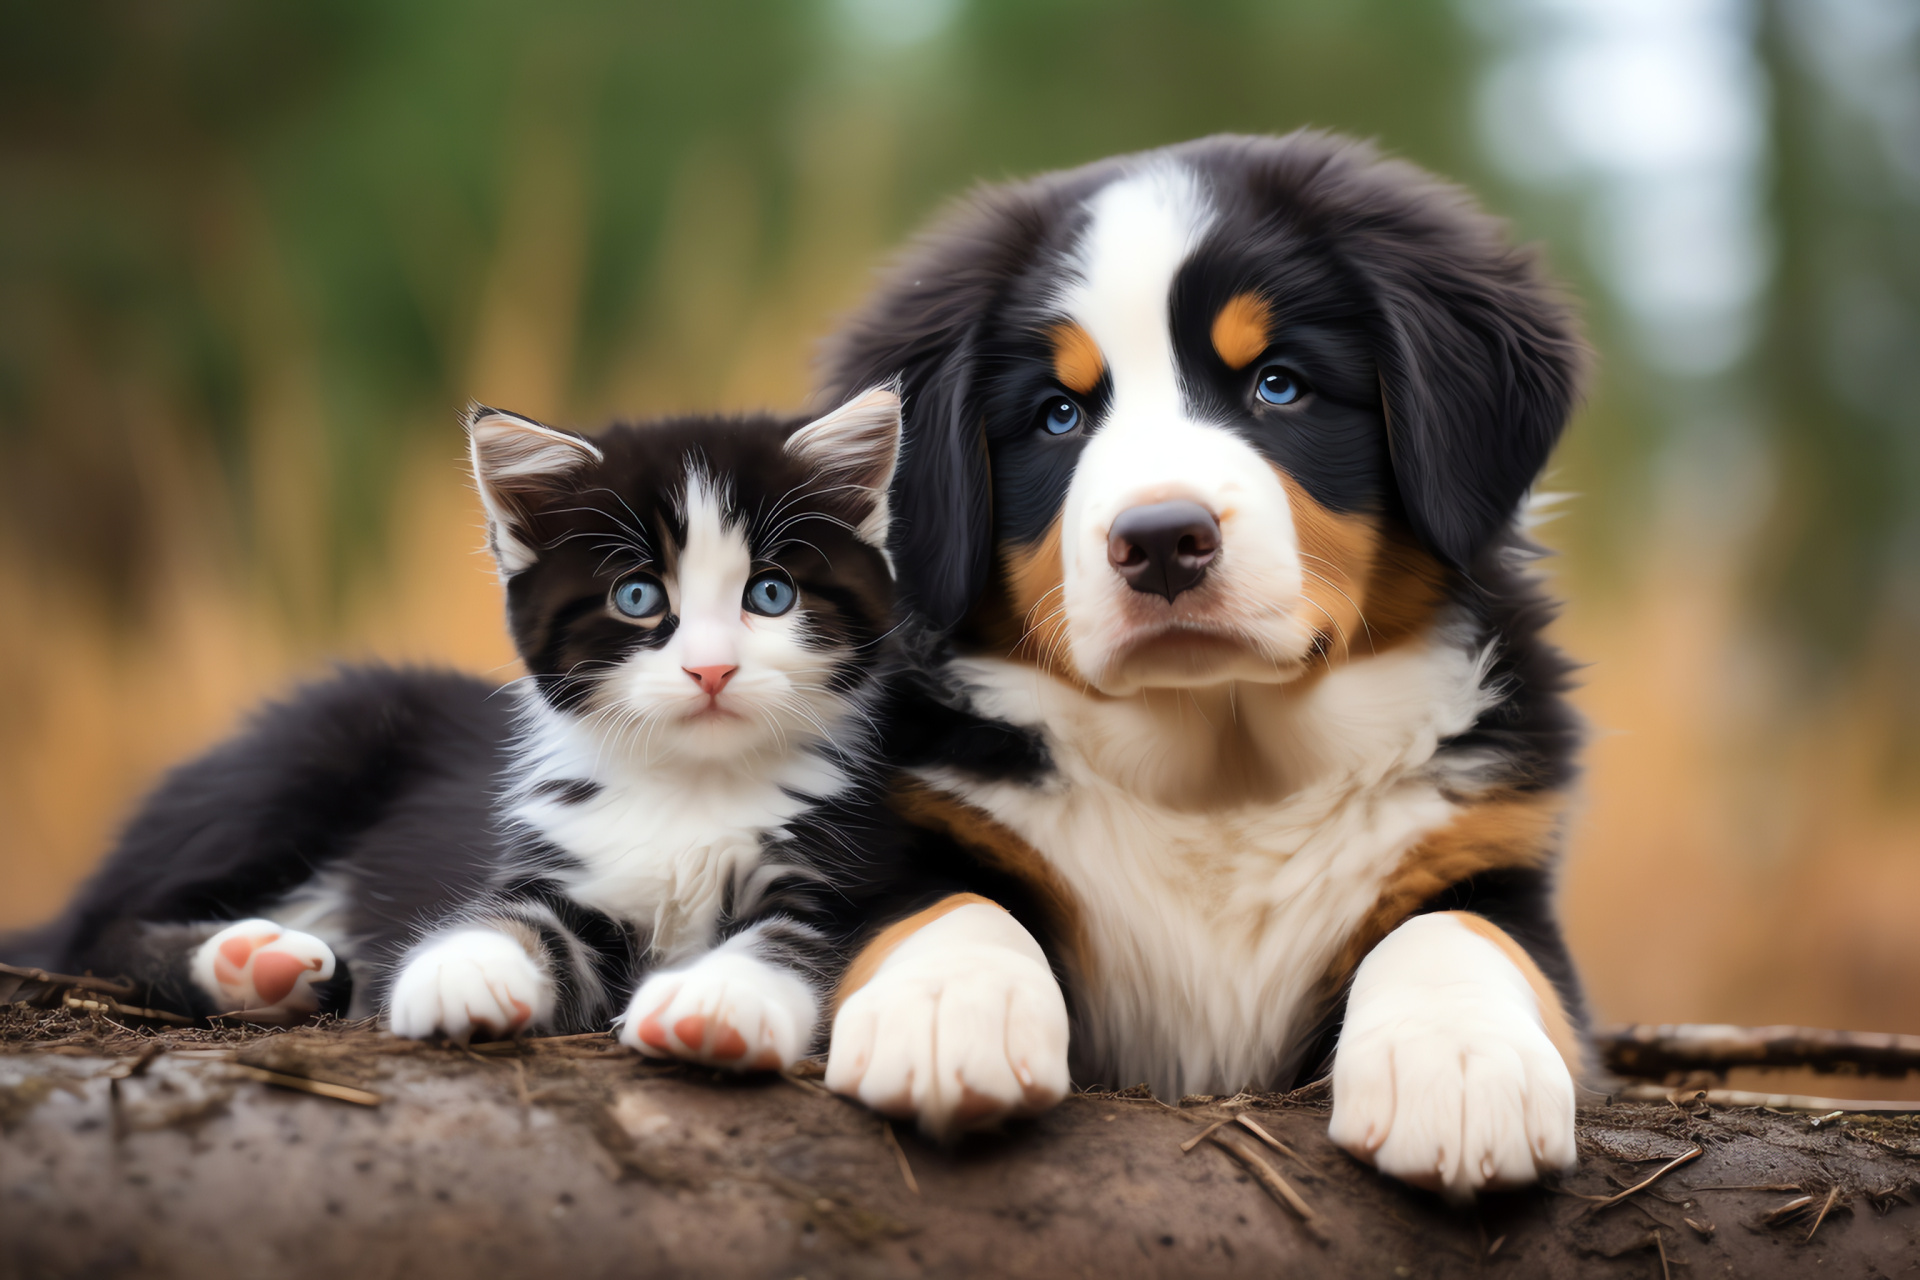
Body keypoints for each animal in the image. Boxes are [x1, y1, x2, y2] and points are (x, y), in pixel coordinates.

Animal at [7, 391, 933, 1074]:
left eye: (771, 595)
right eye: (637, 597)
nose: (711, 671)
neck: (692, 787)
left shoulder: (855, 875)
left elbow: (793, 941)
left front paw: (718, 1001)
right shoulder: (554, 864)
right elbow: (517, 918)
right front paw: (465, 967)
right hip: (302, 754)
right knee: (91, 927)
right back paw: (246, 962)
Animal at [817, 132, 1582, 1205]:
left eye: (1279, 384)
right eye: (1058, 415)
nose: (1160, 542)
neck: (1223, 766)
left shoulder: (1492, 856)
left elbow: (1458, 932)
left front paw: (1462, 1066)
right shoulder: (890, 840)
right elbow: (945, 903)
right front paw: (944, 1009)